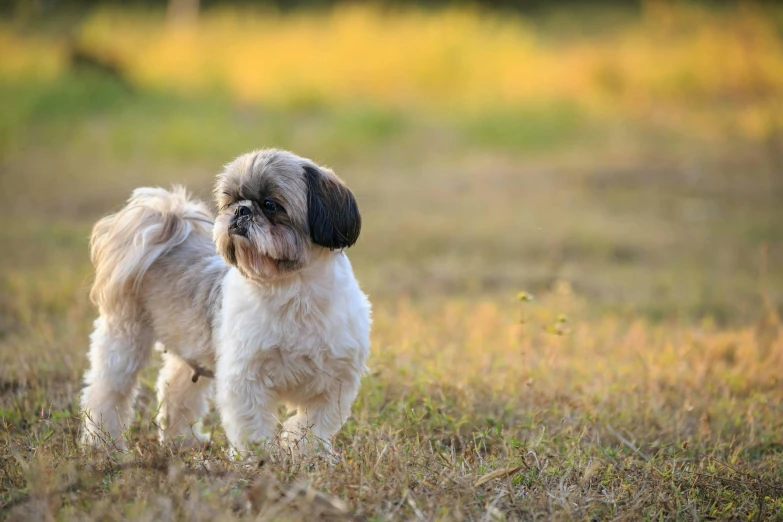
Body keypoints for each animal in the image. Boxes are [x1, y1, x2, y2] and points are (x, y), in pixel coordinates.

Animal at [78, 147, 372, 456]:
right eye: (229, 202)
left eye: (270, 205)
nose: (241, 210)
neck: (294, 293)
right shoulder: (245, 378)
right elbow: (252, 425)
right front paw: (260, 458)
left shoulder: (334, 381)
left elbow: (314, 425)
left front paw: (309, 456)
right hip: (125, 340)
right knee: (107, 393)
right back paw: (103, 444)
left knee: (176, 391)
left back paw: (183, 441)